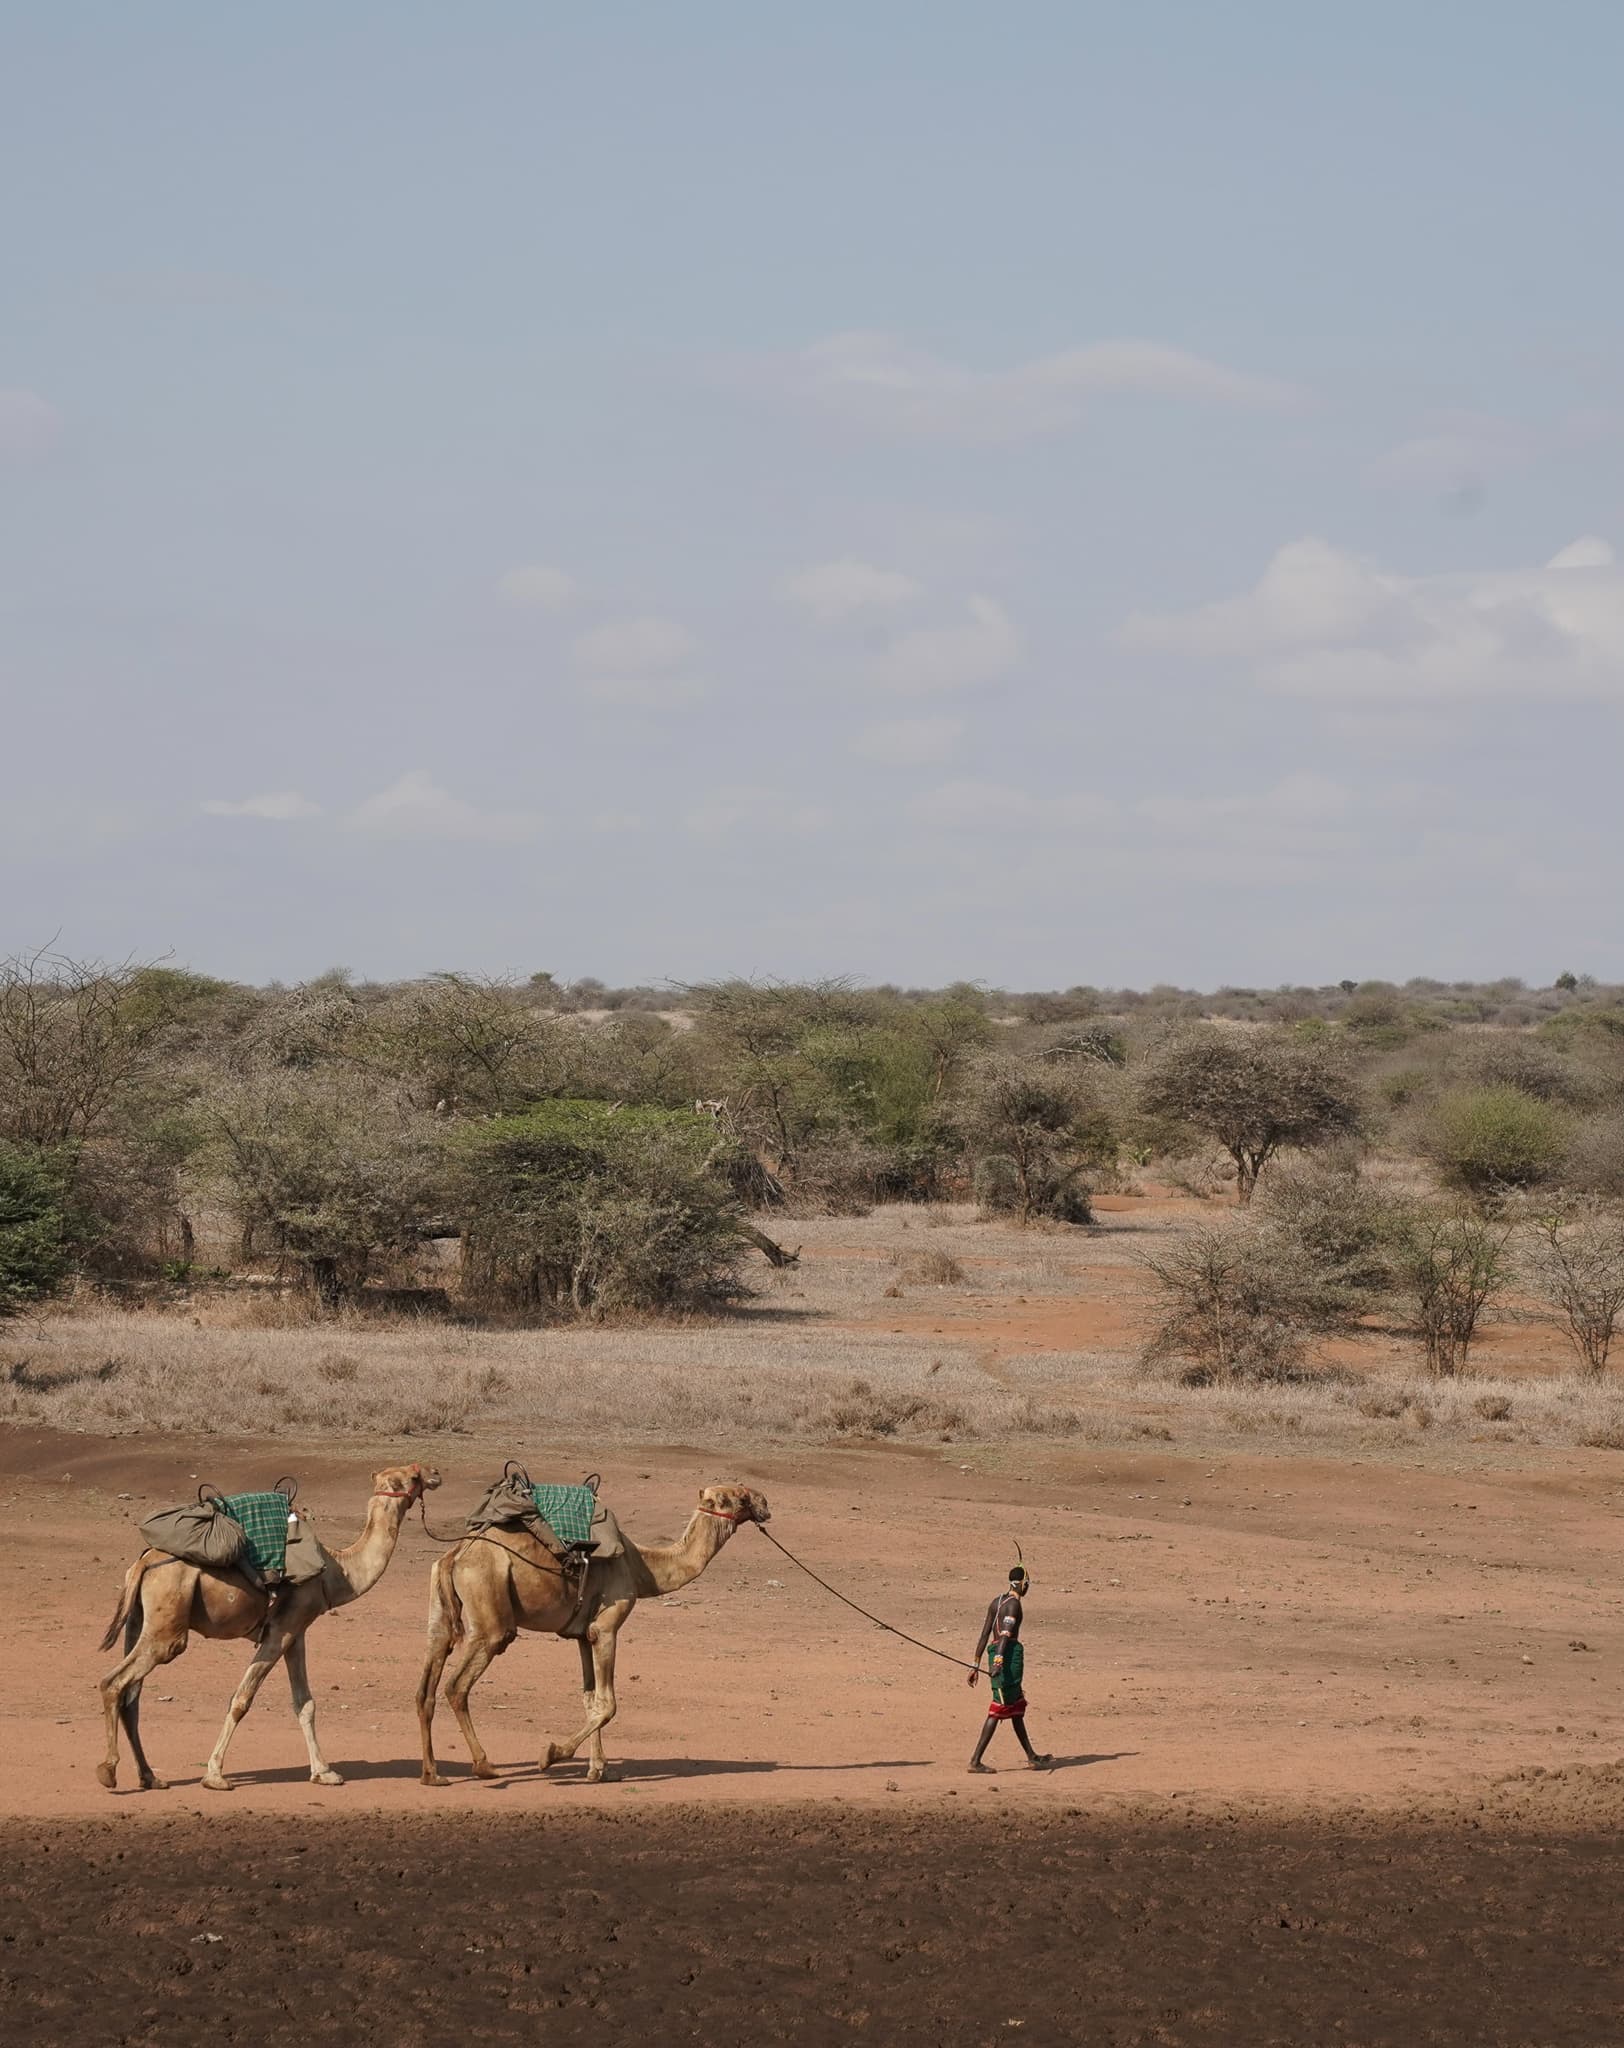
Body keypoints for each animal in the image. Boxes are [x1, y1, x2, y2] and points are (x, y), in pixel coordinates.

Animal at [96, 1461, 440, 1793]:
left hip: (141, 1620)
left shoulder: (297, 1631)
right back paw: (109, 1771)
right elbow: (241, 1699)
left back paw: (150, 1776)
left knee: (131, 1697)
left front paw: (324, 1772)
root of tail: (143, 1563)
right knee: (114, 1682)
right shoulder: (281, 1629)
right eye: (411, 1475)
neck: (337, 1571)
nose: (435, 1473)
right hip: (167, 1626)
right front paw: (214, 1776)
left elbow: (305, 1703)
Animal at [417, 1480, 769, 1786]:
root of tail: (457, 1555)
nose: (766, 1504)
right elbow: (608, 1704)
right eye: (740, 1497)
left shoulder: (583, 1634)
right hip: (491, 1615)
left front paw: (598, 1769)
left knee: (427, 1684)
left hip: (441, 1612)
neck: (641, 1568)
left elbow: (591, 1699)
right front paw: (551, 1754)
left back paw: (432, 1774)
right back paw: (484, 1765)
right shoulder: (606, 1627)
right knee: (457, 1685)